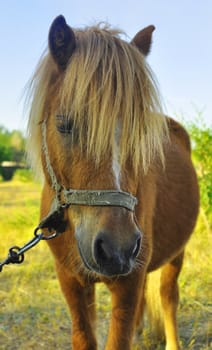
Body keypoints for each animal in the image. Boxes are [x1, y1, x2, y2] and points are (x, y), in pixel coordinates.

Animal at [26, 15, 199, 348]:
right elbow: (84, 337)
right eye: (64, 125)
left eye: (140, 133)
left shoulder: (127, 282)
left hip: (176, 253)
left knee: (168, 296)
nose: (117, 249)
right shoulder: (71, 282)